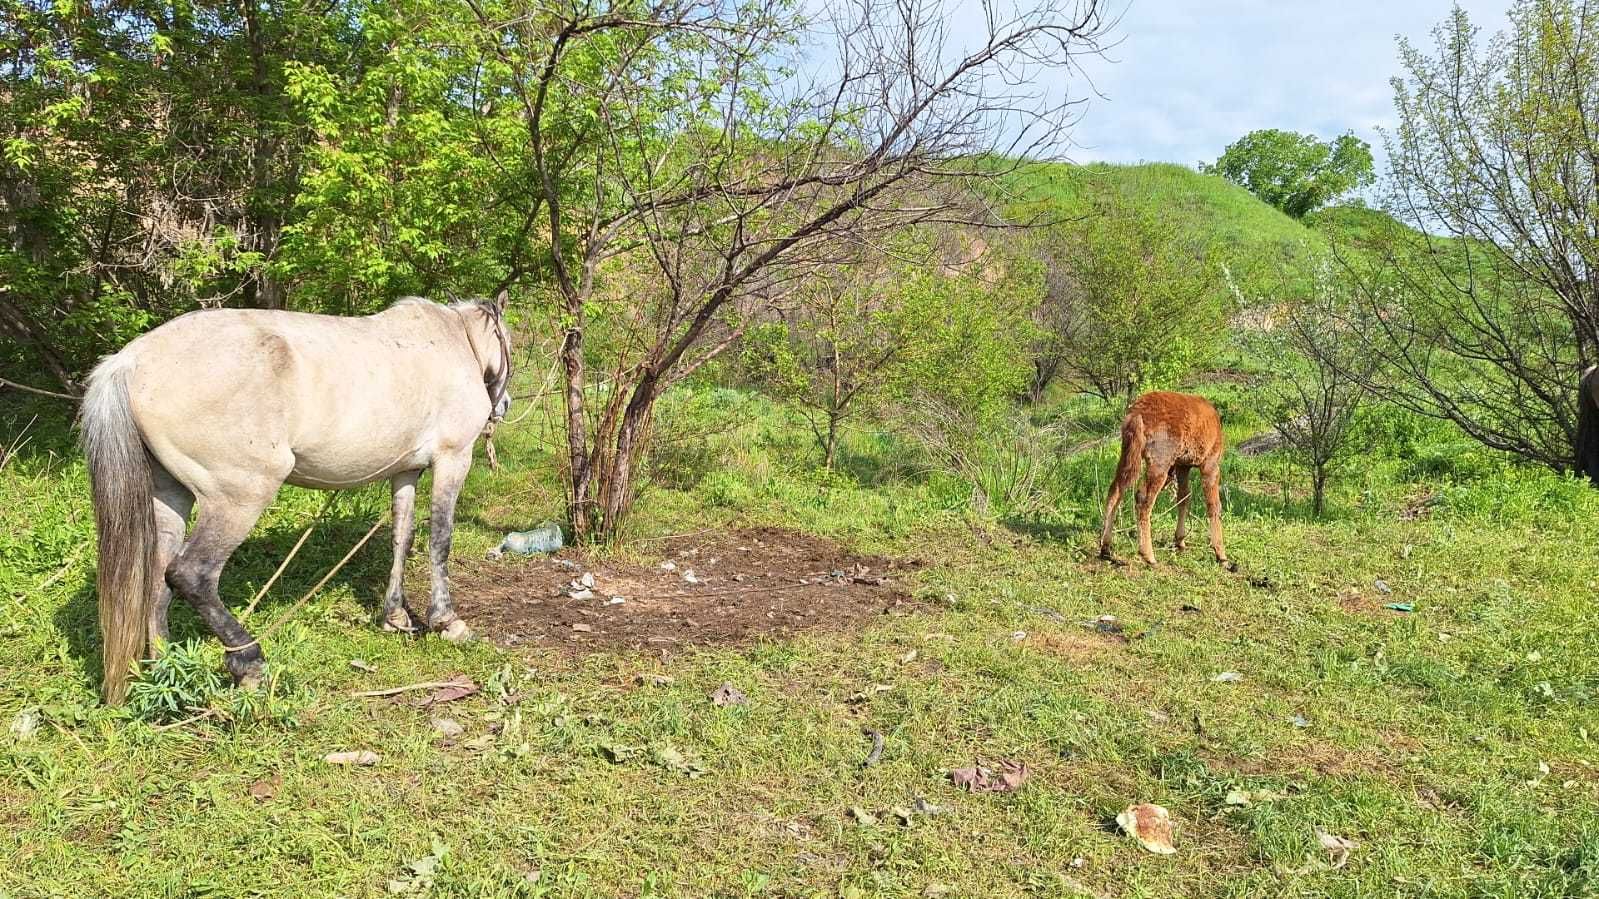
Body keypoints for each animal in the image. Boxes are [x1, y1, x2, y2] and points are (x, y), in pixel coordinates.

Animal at [77, 294, 511, 700]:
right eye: (508, 340)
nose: (503, 405)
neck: (452, 341)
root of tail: (129, 362)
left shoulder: (405, 472)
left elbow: (401, 539)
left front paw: (396, 616)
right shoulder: (453, 458)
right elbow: (440, 539)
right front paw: (446, 621)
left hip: (170, 498)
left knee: (156, 581)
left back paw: (167, 669)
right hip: (240, 497)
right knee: (191, 574)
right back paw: (248, 663)